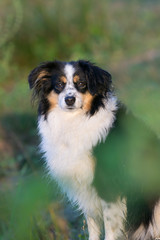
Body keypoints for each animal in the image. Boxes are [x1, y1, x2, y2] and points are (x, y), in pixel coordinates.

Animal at [28, 60, 160, 240]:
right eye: (59, 85)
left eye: (82, 84)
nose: (70, 99)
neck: (76, 121)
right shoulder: (85, 187)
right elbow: (93, 225)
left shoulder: (109, 185)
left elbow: (110, 228)